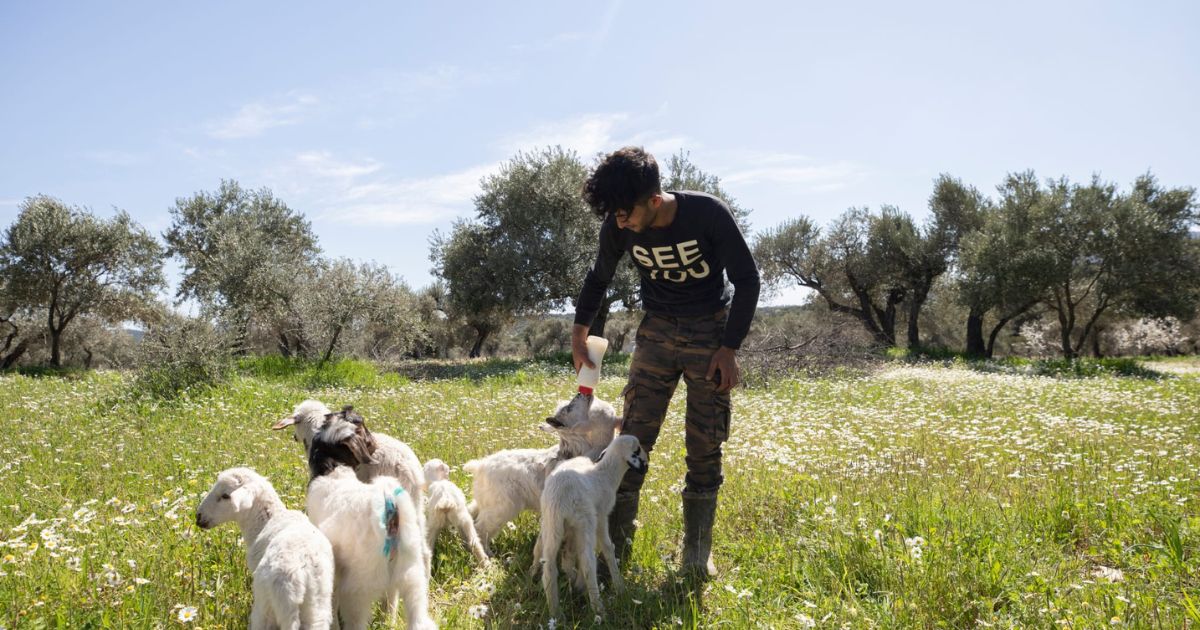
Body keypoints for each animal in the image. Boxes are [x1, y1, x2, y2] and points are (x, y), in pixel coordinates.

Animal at [196, 465, 336, 628]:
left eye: (225, 496)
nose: (198, 516)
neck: (266, 520)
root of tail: (295, 579)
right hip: (317, 606)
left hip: (265, 608)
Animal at [463, 393, 624, 554]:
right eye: (569, 408)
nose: (581, 393)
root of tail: (480, 466)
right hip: (502, 506)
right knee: (481, 528)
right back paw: (487, 554)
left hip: (487, 501)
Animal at [535, 434, 648, 614]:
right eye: (637, 449)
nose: (646, 465)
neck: (605, 475)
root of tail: (560, 495)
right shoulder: (601, 516)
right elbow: (608, 548)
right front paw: (619, 586)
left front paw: (576, 581)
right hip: (585, 520)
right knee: (588, 562)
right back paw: (598, 607)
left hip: (552, 523)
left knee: (549, 565)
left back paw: (555, 611)